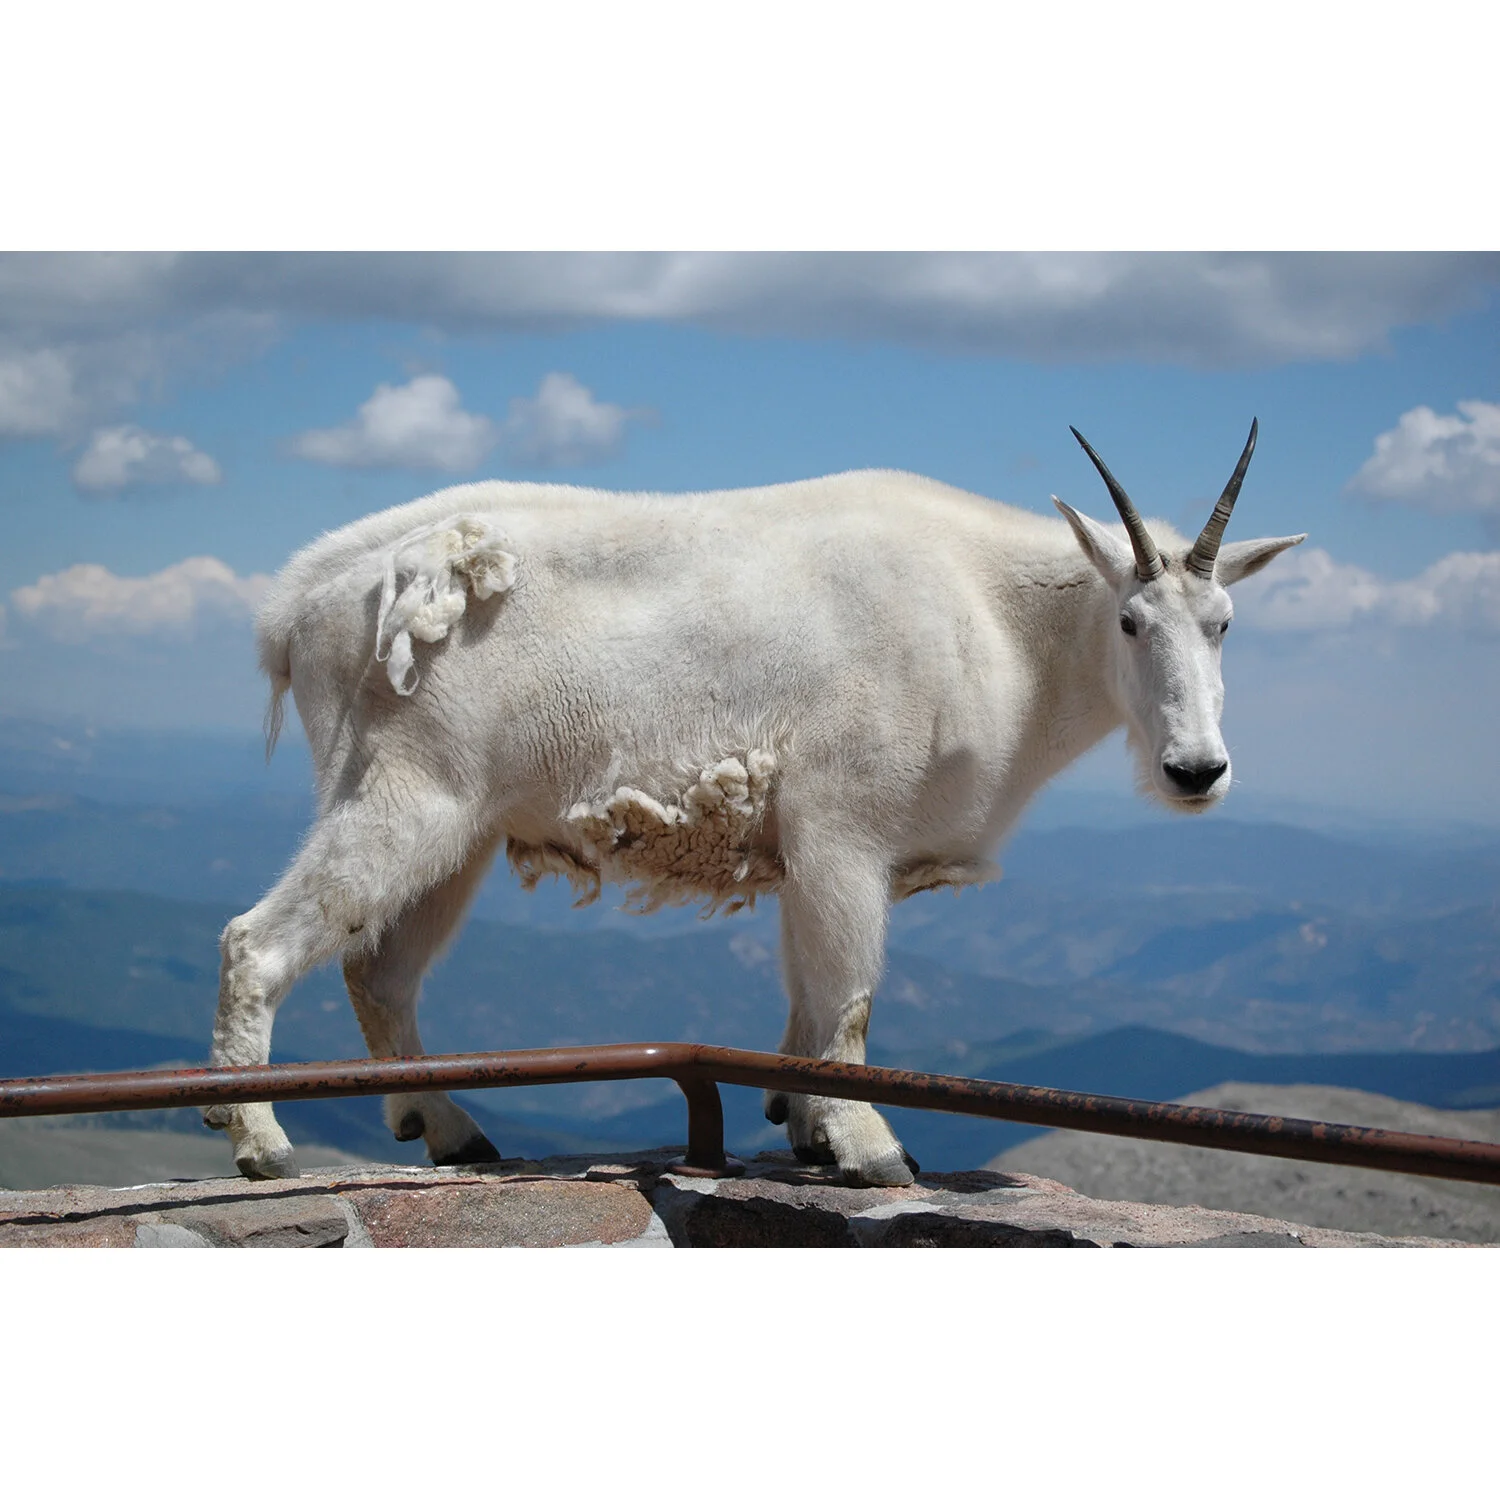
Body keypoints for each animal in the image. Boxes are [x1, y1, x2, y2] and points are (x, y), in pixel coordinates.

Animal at [206, 422, 1305, 1186]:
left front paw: (805, 1129)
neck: (1001, 622)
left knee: (381, 970)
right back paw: (262, 1142)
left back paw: (452, 1133)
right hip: (406, 794)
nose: (1196, 771)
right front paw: (869, 1149)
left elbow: (805, 1001)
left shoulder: (816, 854)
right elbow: (850, 1000)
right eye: (1129, 621)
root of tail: (296, 607)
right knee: (258, 943)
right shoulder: (845, 828)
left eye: (1223, 623)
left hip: (461, 832)